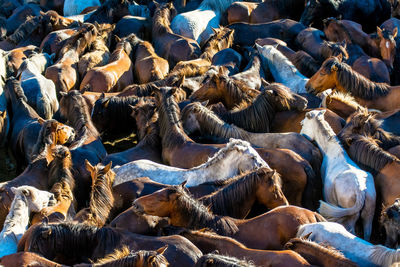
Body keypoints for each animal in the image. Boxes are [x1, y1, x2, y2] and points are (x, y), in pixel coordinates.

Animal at [300, 110, 376, 242]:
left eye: (303, 124)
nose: (301, 134)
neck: (331, 150)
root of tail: (360, 190)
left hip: (350, 217)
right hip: (368, 215)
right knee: (367, 233)